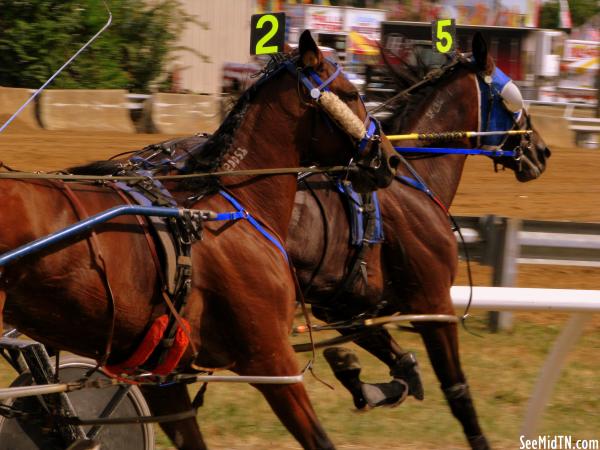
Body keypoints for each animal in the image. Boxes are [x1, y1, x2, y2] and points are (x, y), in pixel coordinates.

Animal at [1, 29, 404, 448]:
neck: (231, 204)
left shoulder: (161, 373)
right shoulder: (270, 358)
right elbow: (318, 437)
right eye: (351, 94)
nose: (390, 159)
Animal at [288, 35, 552, 450]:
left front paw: (360, 380)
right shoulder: (434, 306)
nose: (541, 151)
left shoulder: (344, 305)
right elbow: (456, 390)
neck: (413, 183)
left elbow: (402, 367)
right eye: (513, 97)